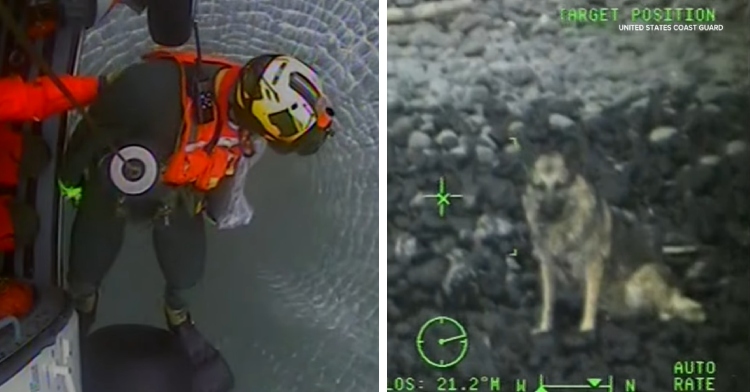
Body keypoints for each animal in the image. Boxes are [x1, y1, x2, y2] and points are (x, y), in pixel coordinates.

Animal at [520, 136, 708, 334]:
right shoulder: (548, 266)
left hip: (639, 279)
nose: (547, 213)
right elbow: (548, 302)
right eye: (540, 187)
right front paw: (544, 327)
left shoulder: (593, 264)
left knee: (665, 309)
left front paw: (587, 328)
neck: (561, 226)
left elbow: (590, 300)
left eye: (559, 185)